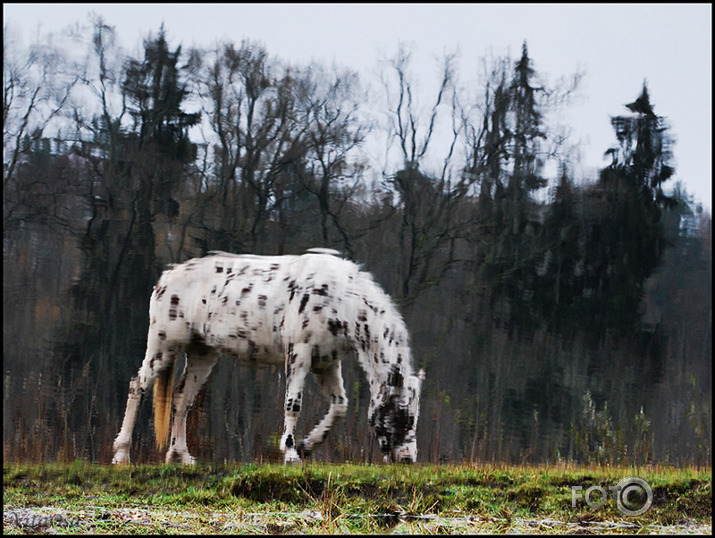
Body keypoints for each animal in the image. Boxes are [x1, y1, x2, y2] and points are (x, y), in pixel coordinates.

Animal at [112, 247, 426, 460]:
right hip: (163, 346)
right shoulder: (299, 354)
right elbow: (293, 405)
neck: (340, 297)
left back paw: (181, 456)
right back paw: (122, 455)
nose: (407, 459)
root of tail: (167, 277)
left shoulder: (326, 363)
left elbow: (339, 406)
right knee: (138, 387)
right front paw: (291, 453)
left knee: (181, 399)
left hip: (203, 354)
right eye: (402, 414)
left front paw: (306, 446)